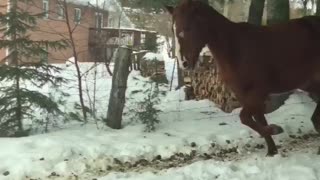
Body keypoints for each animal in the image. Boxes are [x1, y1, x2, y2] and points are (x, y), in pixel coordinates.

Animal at [165, 0, 320, 155]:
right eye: (173, 29)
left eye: (187, 28)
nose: (183, 63)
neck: (236, 49)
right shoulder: (243, 94)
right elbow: (256, 119)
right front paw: (272, 151)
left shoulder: (258, 93)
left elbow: (244, 117)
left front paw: (275, 129)